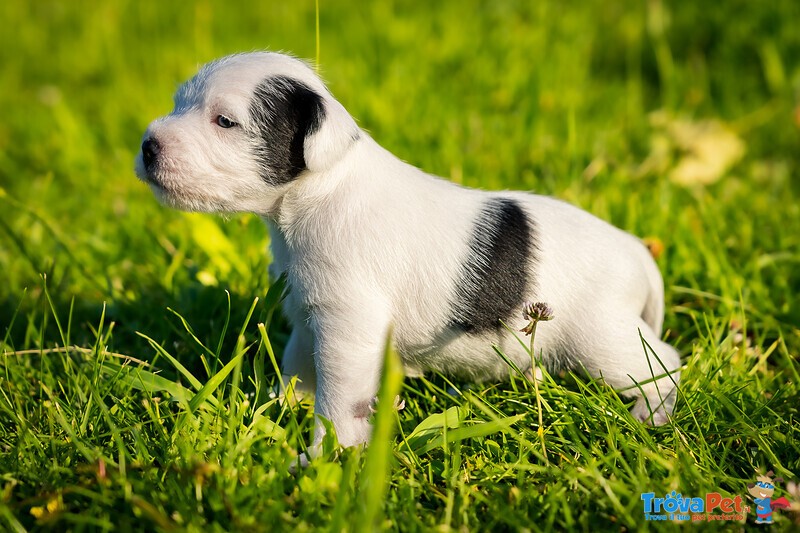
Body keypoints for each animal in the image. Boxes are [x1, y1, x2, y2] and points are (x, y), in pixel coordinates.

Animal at [136, 51, 680, 448]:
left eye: (225, 121)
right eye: (179, 102)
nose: (147, 145)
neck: (322, 191)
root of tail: (638, 252)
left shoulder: (349, 326)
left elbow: (339, 396)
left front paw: (326, 453)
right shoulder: (311, 315)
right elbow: (298, 364)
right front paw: (279, 404)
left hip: (602, 339)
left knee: (664, 365)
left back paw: (651, 415)